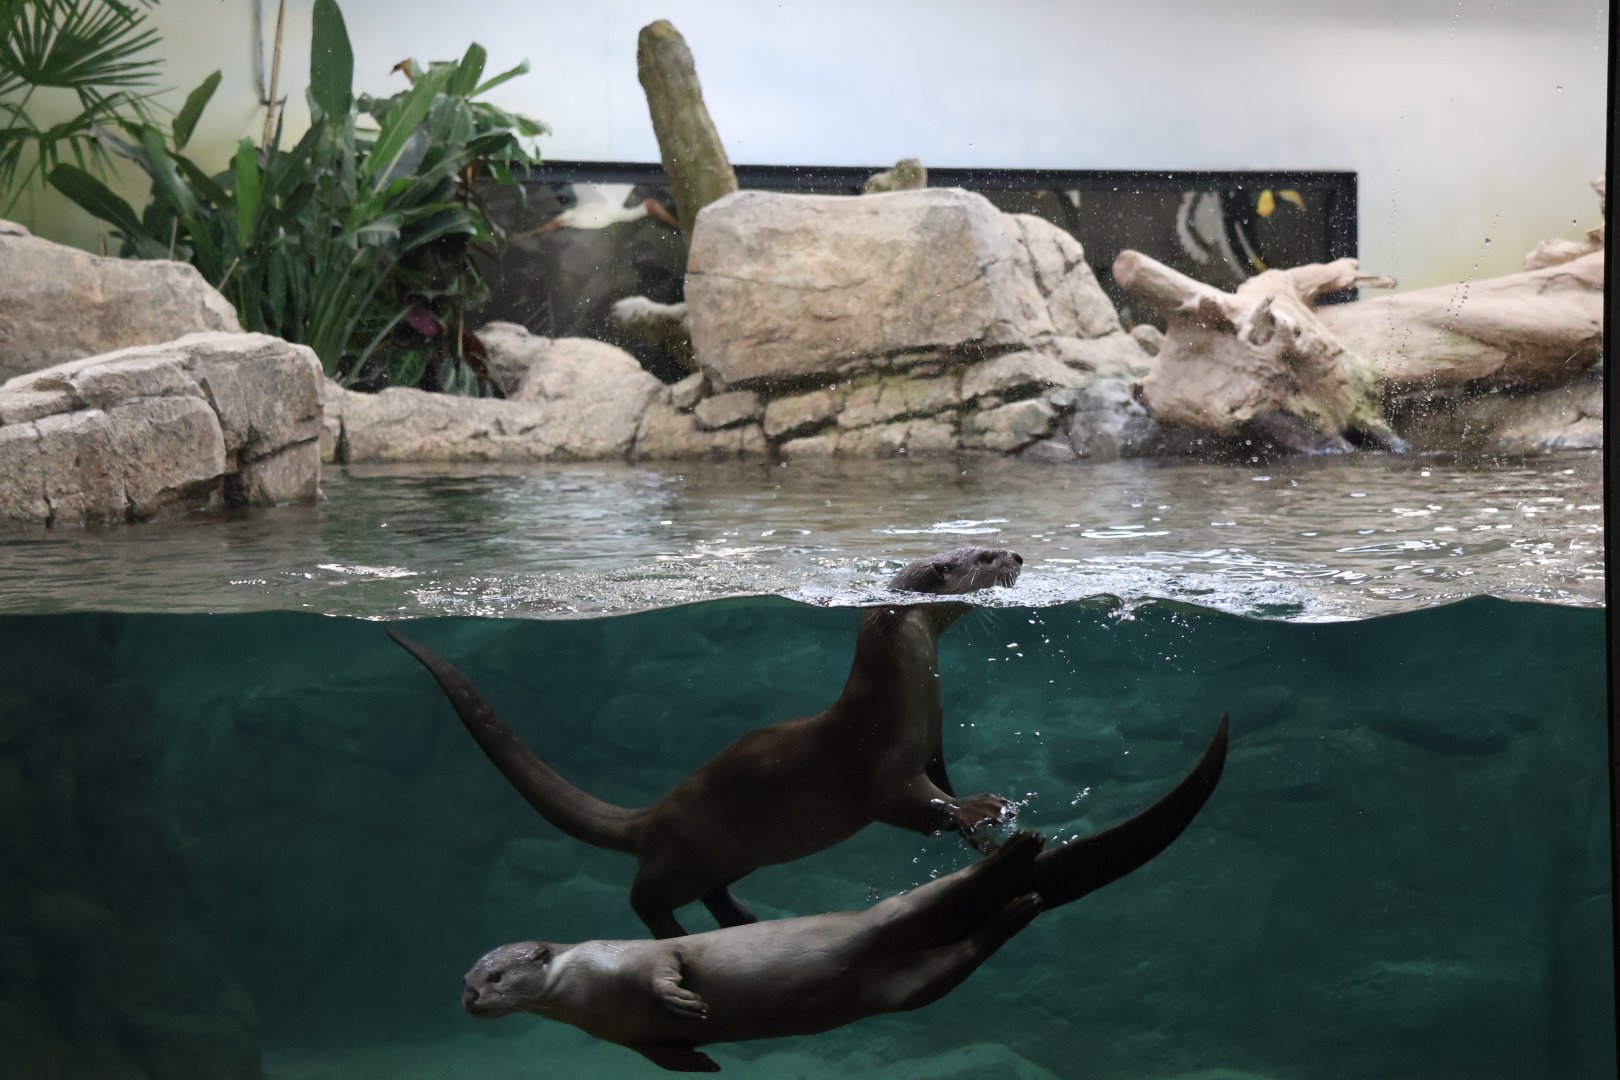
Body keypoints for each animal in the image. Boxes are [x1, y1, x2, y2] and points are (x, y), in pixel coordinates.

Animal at [390, 546, 1023, 938]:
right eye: (983, 556)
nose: (1016, 555)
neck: (899, 694)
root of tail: (652, 814)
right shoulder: (881, 765)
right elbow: (919, 801)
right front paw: (980, 808)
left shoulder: (933, 742)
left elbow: (941, 782)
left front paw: (980, 833)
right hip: (684, 850)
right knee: (643, 896)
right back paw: (674, 930)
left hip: (737, 851)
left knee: (712, 891)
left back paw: (746, 921)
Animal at [462, 715, 1228, 1073]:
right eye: (469, 979)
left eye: (496, 975)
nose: (469, 999)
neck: (590, 986)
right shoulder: (625, 1035)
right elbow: (660, 1054)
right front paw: (700, 1058)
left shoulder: (635, 960)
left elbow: (670, 964)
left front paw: (685, 1000)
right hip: (904, 984)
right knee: (959, 953)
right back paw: (1018, 905)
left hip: (894, 913)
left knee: (950, 894)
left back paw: (1019, 850)